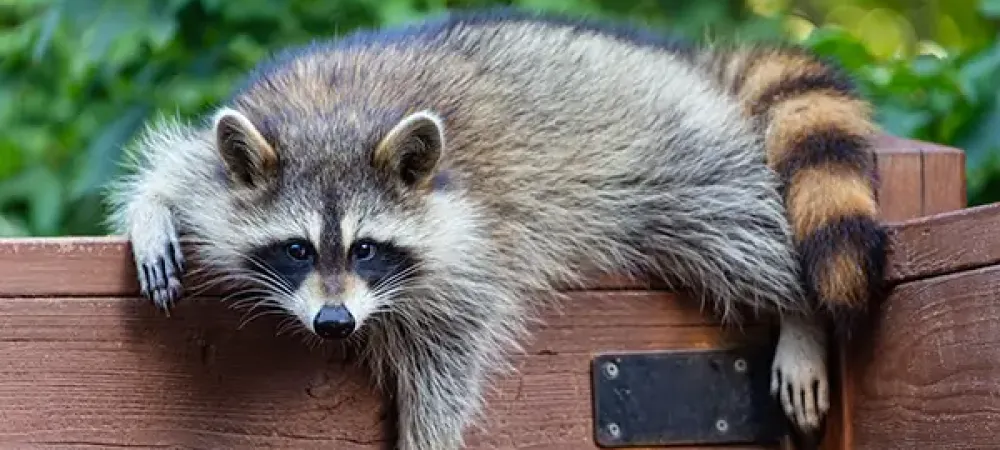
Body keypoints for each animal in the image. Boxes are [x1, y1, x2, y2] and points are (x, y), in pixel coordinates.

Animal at [106, 9, 887, 450]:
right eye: (296, 248)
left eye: (366, 247)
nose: (333, 323)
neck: (336, 115)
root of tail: (683, 62)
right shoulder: (236, 150)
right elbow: (179, 169)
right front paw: (153, 210)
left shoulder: (474, 245)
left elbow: (452, 349)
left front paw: (428, 435)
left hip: (671, 155)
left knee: (737, 231)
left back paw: (798, 310)